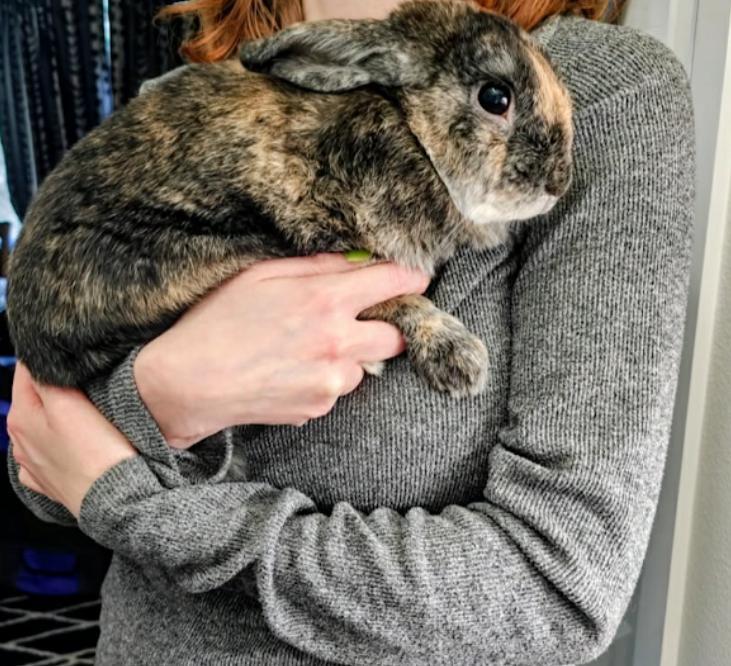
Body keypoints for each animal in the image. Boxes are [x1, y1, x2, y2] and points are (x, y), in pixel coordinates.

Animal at [6, 0, 573, 401]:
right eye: (495, 97)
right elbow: (391, 297)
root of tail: (31, 343)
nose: (558, 182)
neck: (409, 131)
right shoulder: (322, 238)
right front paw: (460, 360)